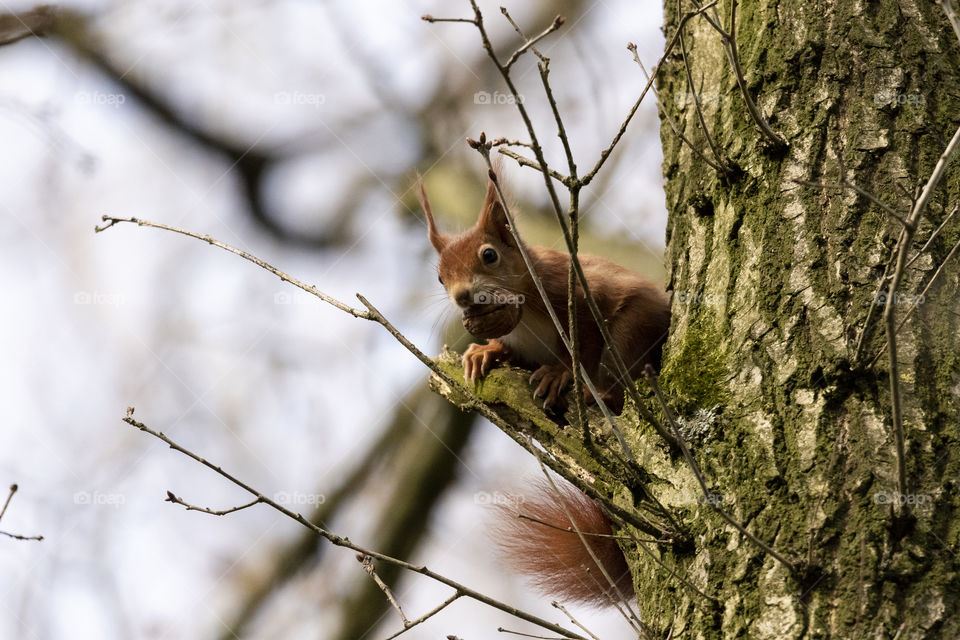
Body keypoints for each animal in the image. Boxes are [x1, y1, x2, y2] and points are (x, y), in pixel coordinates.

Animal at [416, 171, 672, 608]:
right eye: (438, 275)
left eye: (489, 255)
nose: (462, 296)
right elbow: (507, 350)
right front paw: (484, 352)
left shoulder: (575, 295)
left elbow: (583, 341)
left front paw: (560, 373)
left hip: (632, 330)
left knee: (618, 369)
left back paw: (600, 394)